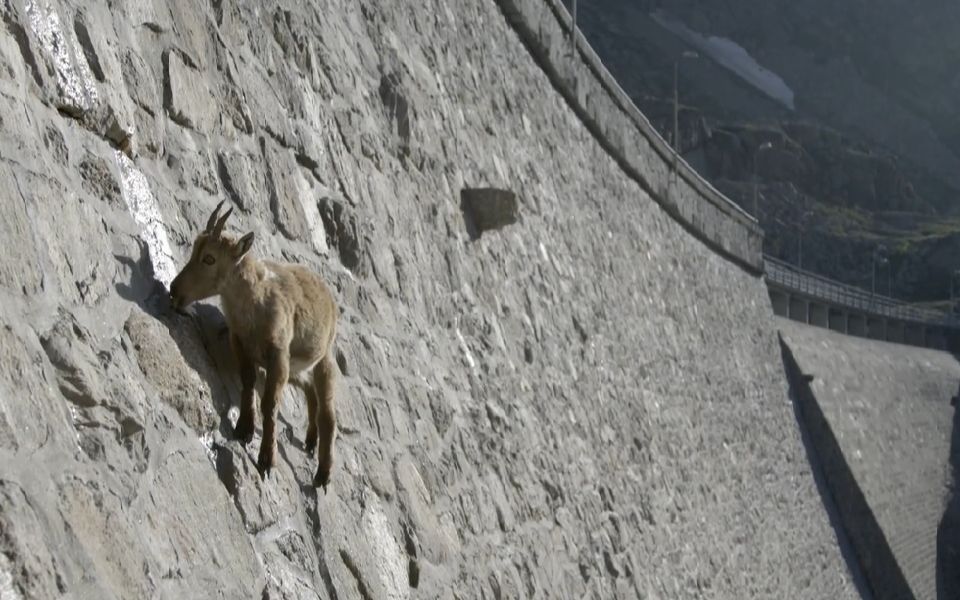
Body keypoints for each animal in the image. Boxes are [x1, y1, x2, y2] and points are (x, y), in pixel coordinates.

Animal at [171, 202, 340, 488]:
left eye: (209, 258)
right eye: (195, 249)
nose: (174, 290)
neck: (254, 303)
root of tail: (330, 298)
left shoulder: (278, 354)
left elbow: (270, 404)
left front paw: (267, 459)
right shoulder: (240, 343)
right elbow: (248, 381)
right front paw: (244, 428)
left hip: (324, 358)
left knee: (328, 414)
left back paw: (323, 474)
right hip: (296, 367)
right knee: (309, 390)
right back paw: (310, 440)